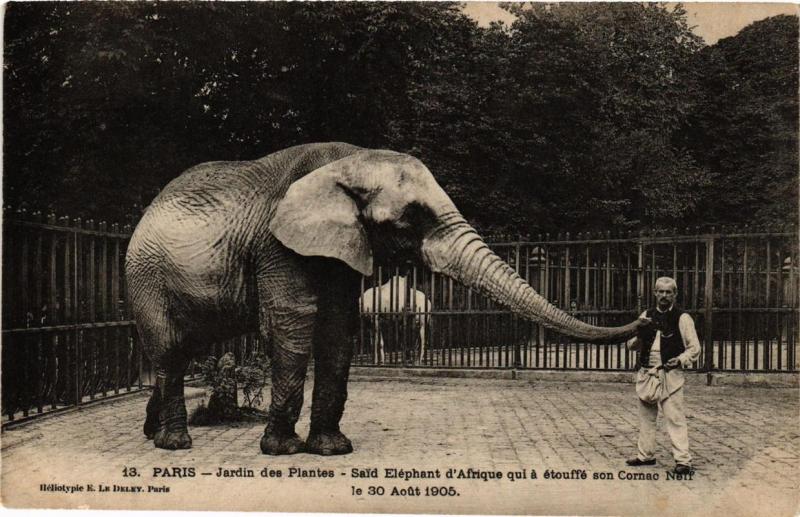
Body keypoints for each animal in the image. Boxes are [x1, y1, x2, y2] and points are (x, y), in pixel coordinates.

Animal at [126, 139, 648, 454]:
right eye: (410, 217)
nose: (645, 315)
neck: (345, 161)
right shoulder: (277, 245)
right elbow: (295, 324)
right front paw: (282, 451)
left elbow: (338, 328)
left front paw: (332, 450)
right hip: (146, 276)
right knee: (170, 349)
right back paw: (174, 444)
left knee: (182, 349)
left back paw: (152, 435)